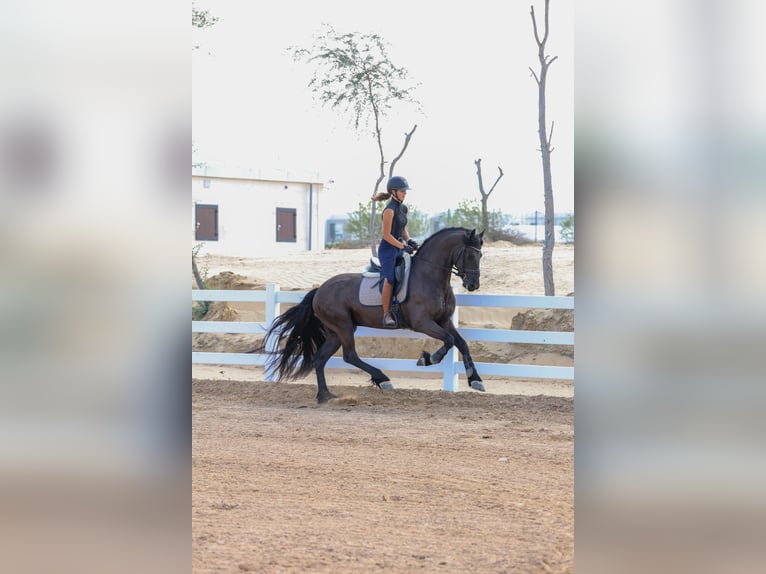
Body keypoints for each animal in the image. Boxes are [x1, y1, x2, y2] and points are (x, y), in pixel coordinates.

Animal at [259, 227, 486, 403]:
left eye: (481, 255)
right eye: (470, 255)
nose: (473, 285)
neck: (430, 277)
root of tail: (319, 290)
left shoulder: (444, 321)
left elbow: (461, 343)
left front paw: (475, 380)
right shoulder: (423, 323)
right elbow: (448, 341)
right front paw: (428, 359)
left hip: (335, 332)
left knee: (320, 358)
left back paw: (325, 395)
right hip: (344, 326)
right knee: (350, 355)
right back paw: (382, 379)